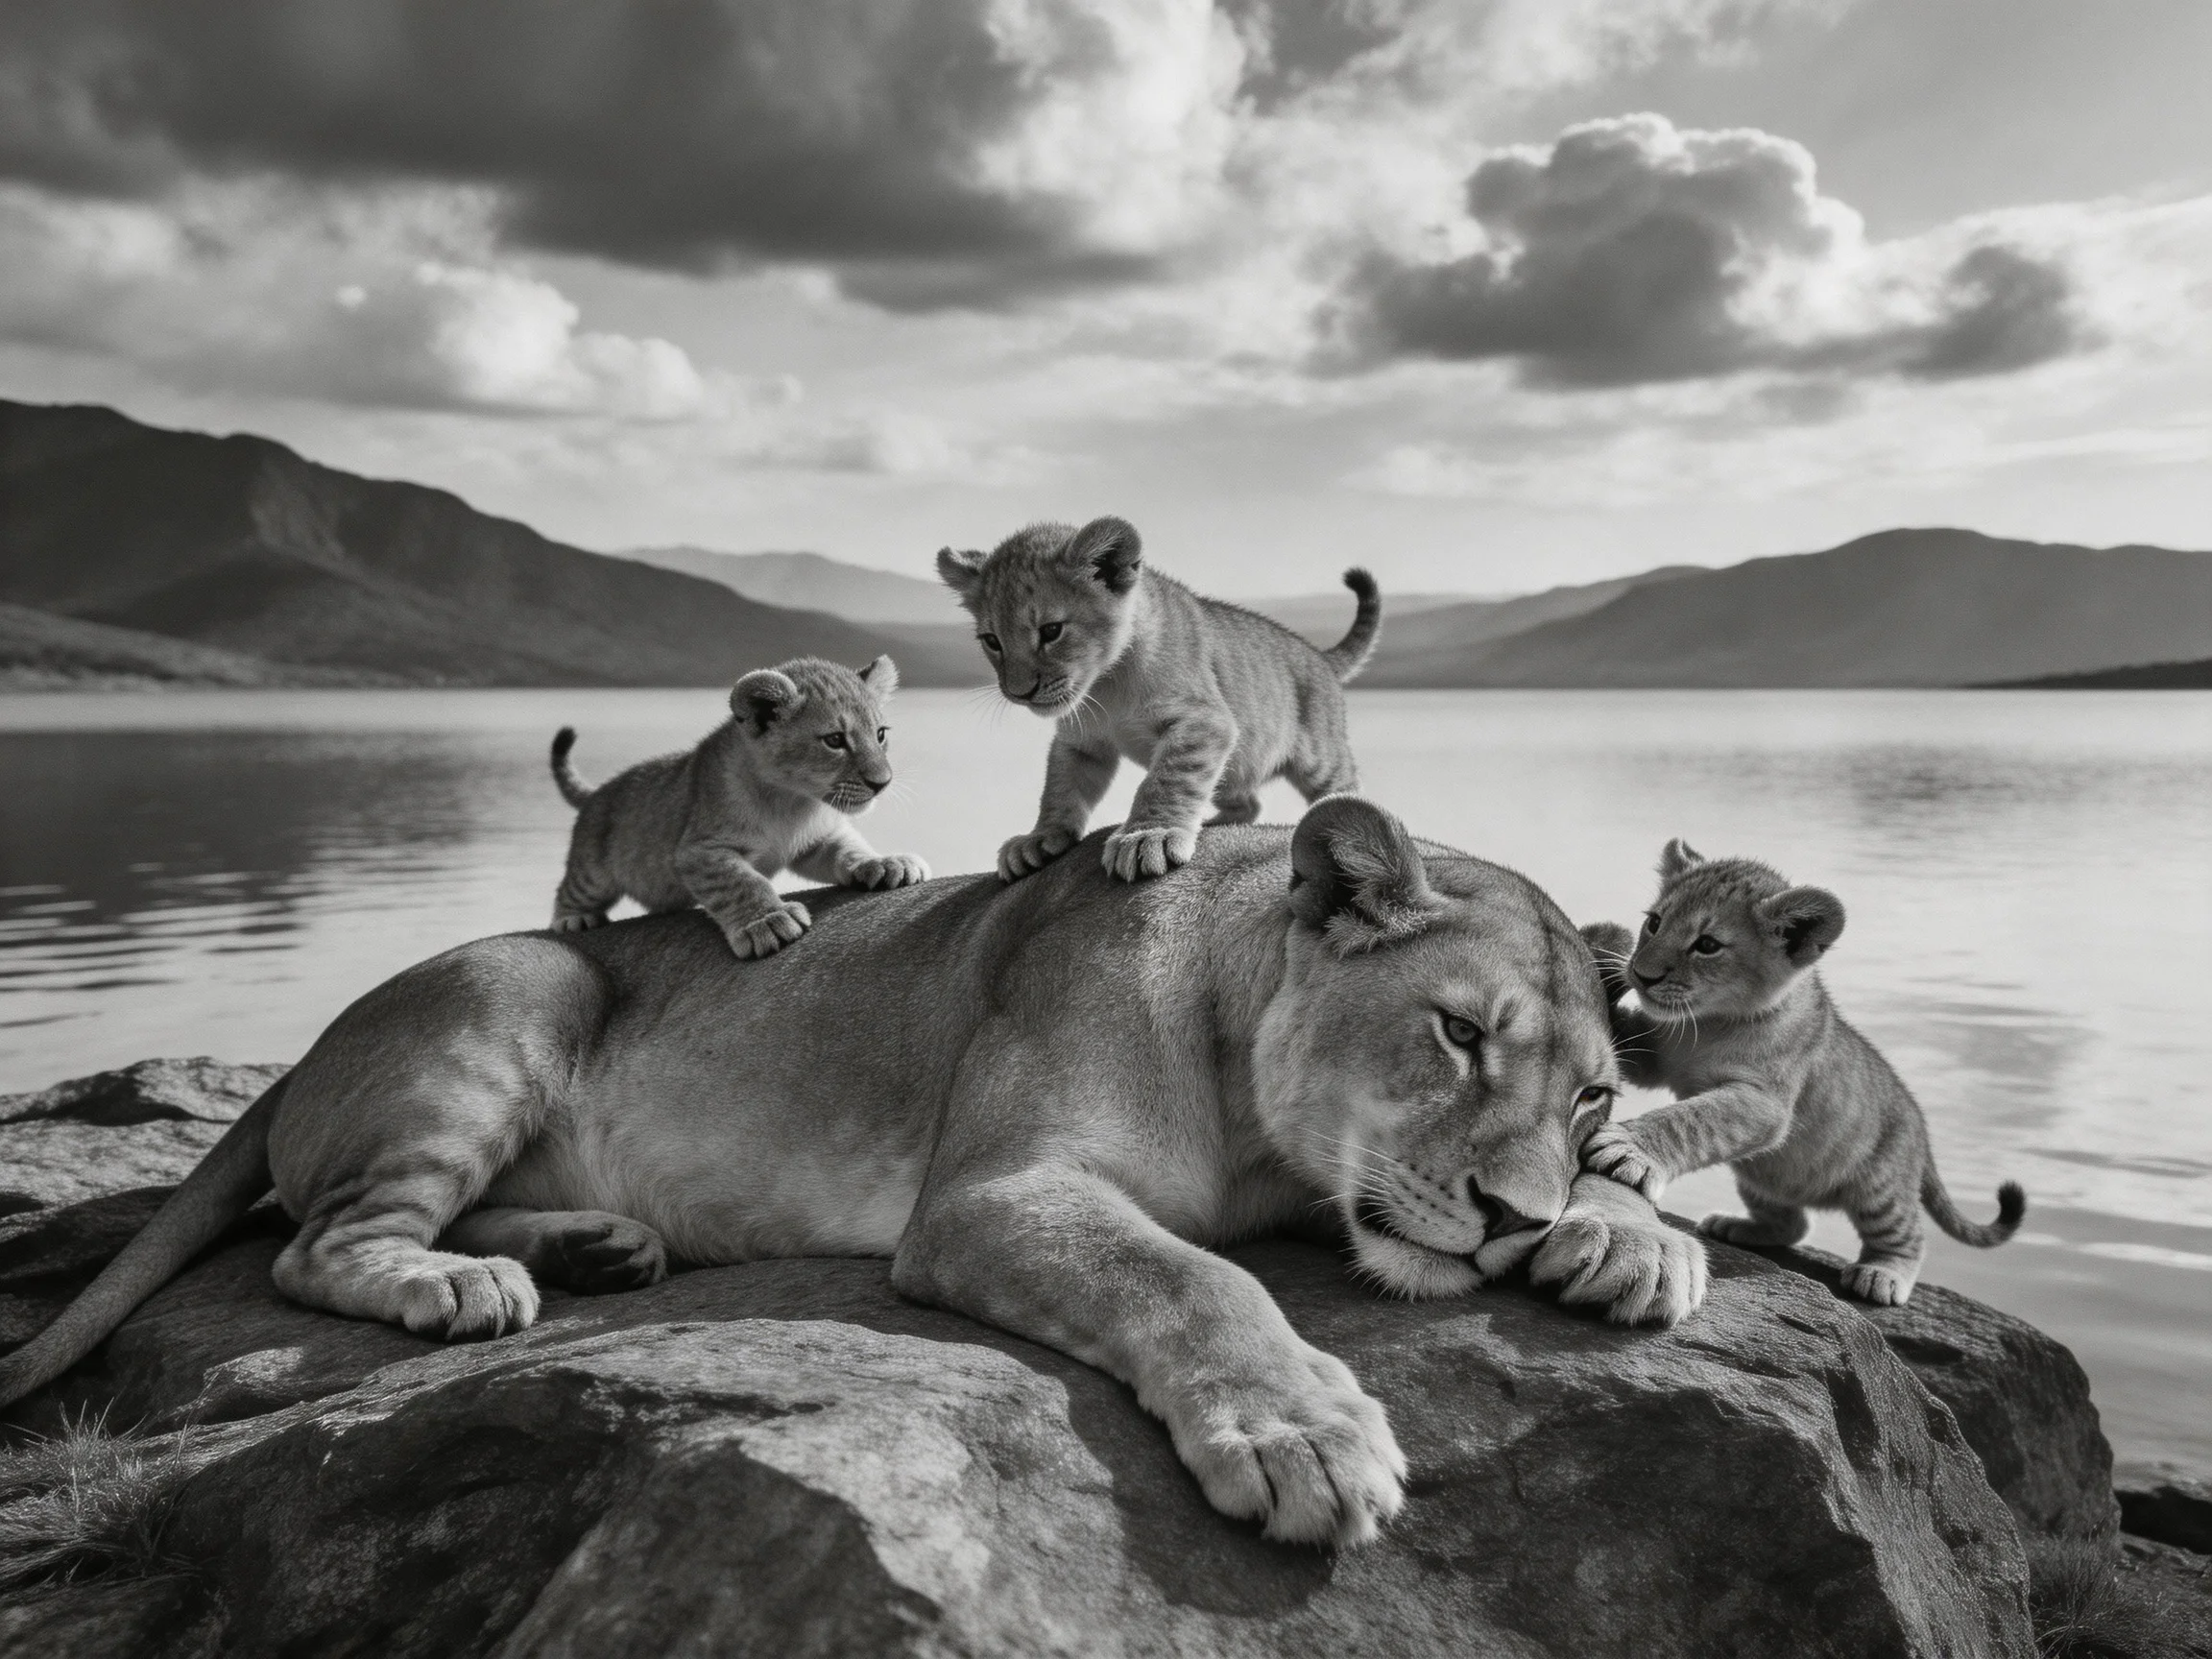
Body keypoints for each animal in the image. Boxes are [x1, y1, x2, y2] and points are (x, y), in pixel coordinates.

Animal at [0, 797, 1706, 1548]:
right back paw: (462, 1284)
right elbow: (1193, 1278)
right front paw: (1302, 1436)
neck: (1254, 1105)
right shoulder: (994, 1194)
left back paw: (598, 1249)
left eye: (1591, 1088)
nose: (1513, 1221)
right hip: (514, 990)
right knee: (312, 1246)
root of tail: (302, 1050)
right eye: (1455, 1036)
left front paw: (1634, 1236)